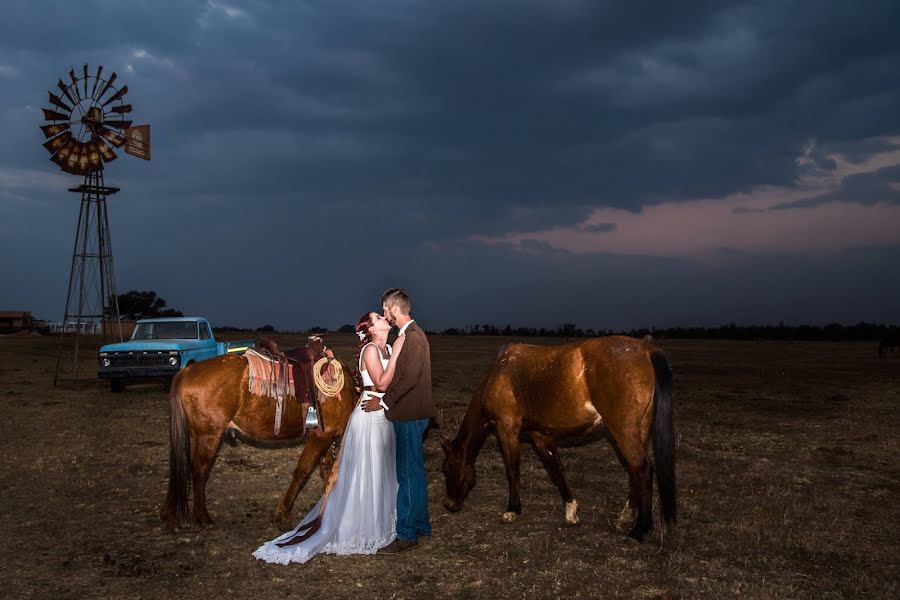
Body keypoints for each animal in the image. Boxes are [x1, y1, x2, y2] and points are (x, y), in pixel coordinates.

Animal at [160, 340, 356, 532]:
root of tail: (188, 370)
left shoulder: (327, 438)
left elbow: (327, 472)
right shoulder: (321, 436)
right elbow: (302, 472)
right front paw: (283, 516)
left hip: (194, 434)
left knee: (182, 465)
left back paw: (170, 516)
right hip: (209, 435)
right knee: (199, 470)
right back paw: (202, 517)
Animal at [436, 338, 676, 544]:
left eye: (447, 468)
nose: (448, 504)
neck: (499, 373)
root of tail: (646, 349)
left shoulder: (506, 428)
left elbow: (512, 470)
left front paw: (513, 510)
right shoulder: (539, 434)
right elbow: (556, 468)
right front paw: (571, 510)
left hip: (623, 431)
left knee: (642, 470)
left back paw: (640, 529)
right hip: (639, 430)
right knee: (635, 473)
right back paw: (624, 519)